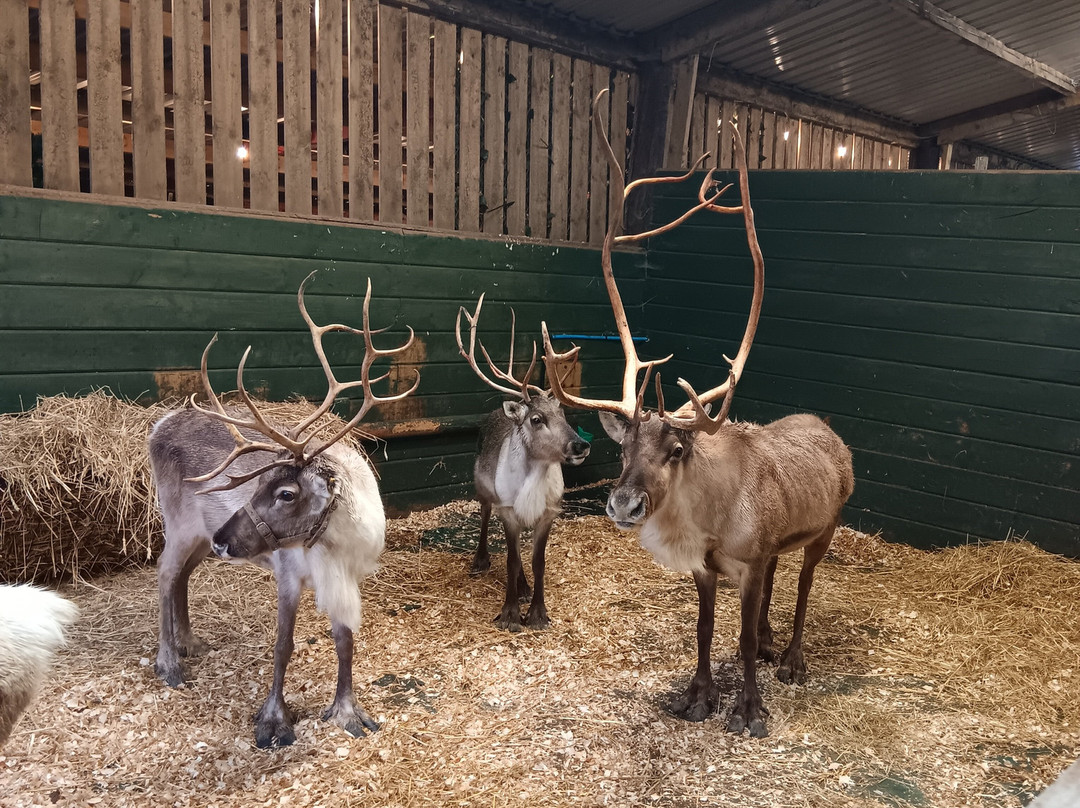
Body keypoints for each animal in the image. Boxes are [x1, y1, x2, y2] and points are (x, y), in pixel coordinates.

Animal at [148, 271, 418, 748]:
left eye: (286, 494)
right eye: (257, 483)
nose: (226, 540)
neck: (335, 542)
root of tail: (158, 426)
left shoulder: (348, 578)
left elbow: (345, 640)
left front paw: (347, 711)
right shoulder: (289, 575)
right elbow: (283, 645)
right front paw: (274, 720)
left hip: (199, 536)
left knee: (181, 576)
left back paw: (189, 643)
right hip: (179, 524)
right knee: (164, 572)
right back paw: (169, 664)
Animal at [454, 296, 590, 632]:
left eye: (564, 415)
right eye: (537, 419)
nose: (580, 445)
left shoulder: (549, 512)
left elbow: (536, 560)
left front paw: (538, 612)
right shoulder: (508, 510)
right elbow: (511, 559)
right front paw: (510, 613)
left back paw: (525, 586)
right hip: (483, 487)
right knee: (485, 516)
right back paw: (480, 561)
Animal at [540, 91, 854, 738]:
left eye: (677, 449)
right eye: (623, 447)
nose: (623, 504)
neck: (711, 519)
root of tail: (831, 434)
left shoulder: (751, 559)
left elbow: (740, 637)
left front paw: (750, 709)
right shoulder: (712, 568)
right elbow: (708, 632)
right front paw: (698, 696)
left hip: (825, 527)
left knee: (805, 584)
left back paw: (791, 657)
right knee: (779, 587)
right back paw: (772, 642)